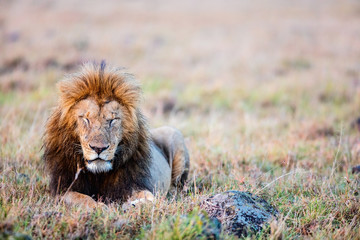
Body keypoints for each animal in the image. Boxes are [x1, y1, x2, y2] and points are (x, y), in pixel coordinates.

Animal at [42, 62, 190, 210]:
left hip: (174, 134)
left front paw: (134, 204)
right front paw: (100, 207)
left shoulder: (132, 185)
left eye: (112, 120)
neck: (98, 175)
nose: (98, 148)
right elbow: (81, 198)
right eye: (86, 119)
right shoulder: (61, 190)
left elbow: (150, 197)